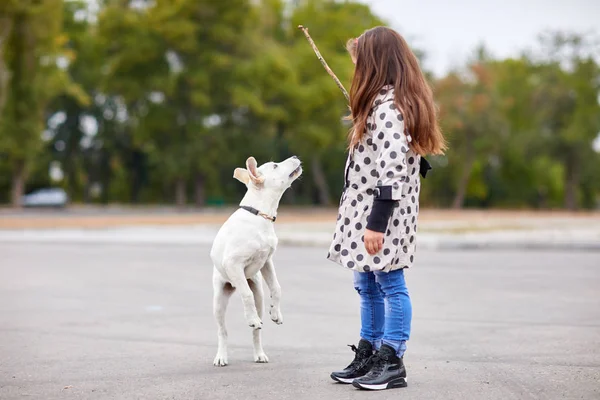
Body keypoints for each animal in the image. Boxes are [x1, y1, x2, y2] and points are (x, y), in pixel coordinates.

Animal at [212, 155, 304, 366]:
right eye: (275, 166)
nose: (295, 157)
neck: (260, 215)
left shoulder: (266, 260)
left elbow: (276, 287)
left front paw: (276, 313)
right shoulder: (233, 264)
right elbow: (246, 295)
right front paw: (251, 317)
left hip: (259, 295)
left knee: (256, 332)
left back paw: (259, 353)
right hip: (218, 301)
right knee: (223, 331)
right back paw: (222, 356)